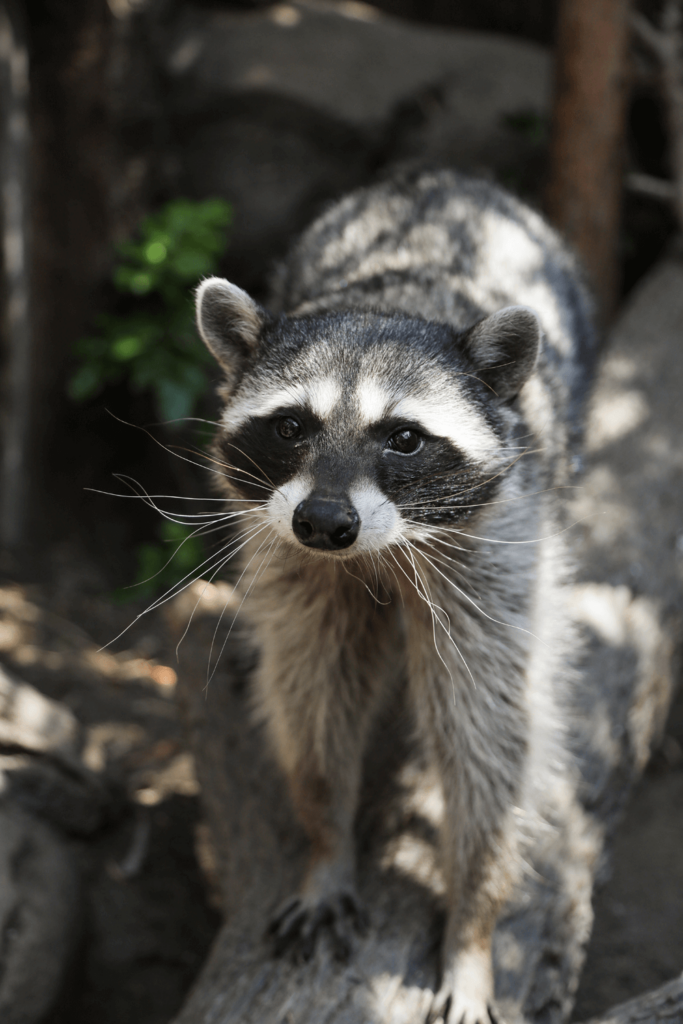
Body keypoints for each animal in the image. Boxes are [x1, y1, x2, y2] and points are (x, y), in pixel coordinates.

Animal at [194, 169, 593, 1024]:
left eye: (403, 438)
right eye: (290, 426)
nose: (323, 521)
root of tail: (439, 177)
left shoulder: (495, 545)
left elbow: (488, 732)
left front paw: (474, 920)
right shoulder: (295, 560)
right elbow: (314, 691)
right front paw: (325, 837)